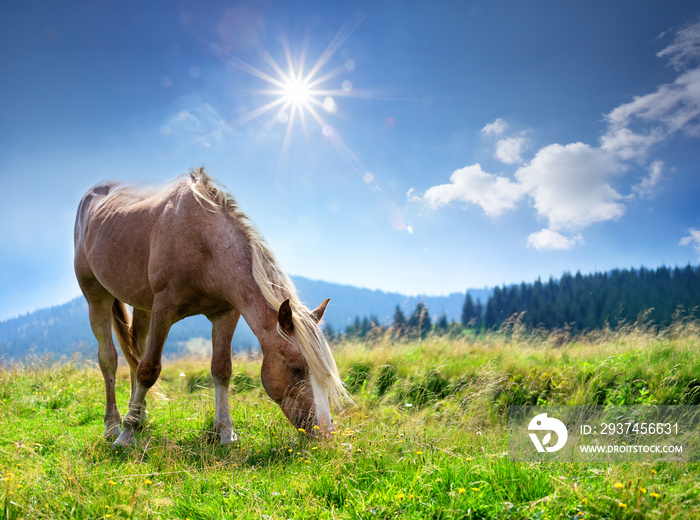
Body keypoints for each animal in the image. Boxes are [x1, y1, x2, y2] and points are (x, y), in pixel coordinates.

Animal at [74, 168, 348, 446]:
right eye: (296, 369)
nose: (325, 432)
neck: (203, 242)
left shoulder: (225, 313)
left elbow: (222, 369)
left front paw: (225, 430)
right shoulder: (163, 309)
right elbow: (149, 369)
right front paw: (127, 434)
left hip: (142, 305)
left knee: (134, 350)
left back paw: (139, 415)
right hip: (97, 297)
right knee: (109, 358)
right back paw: (114, 425)